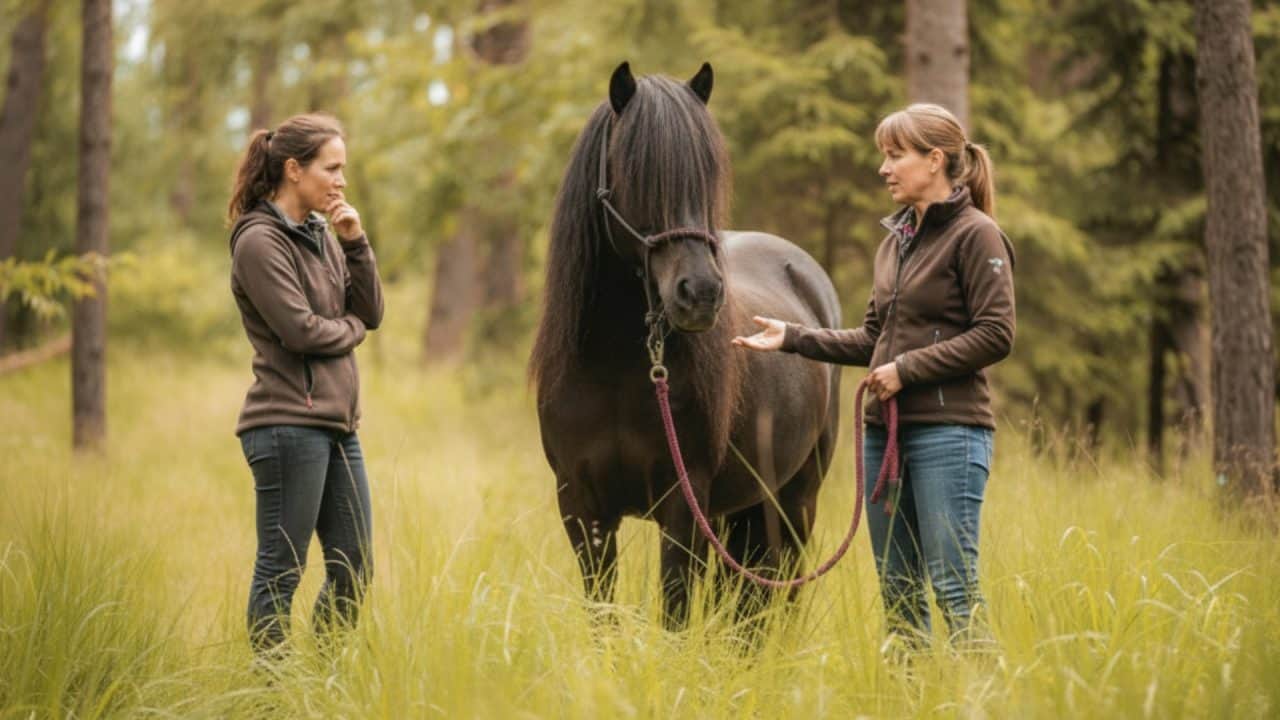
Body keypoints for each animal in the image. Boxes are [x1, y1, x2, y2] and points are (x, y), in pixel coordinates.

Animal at [529, 61, 842, 628]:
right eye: (636, 173)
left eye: (708, 174)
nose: (700, 294)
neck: (614, 368)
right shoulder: (582, 509)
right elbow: (603, 614)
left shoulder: (684, 502)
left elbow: (674, 613)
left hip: (794, 499)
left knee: (777, 598)